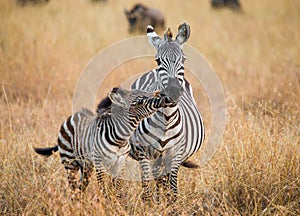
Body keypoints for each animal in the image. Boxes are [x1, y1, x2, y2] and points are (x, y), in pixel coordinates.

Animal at [34, 85, 182, 192]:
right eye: (139, 101)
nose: (165, 96)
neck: (120, 139)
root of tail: (73, 116)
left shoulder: (120, 163)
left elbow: (117, 188)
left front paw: (117, 204)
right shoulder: (100, 164)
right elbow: (103, 189)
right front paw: (105, 204)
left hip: (86, 166)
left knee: (81, 187)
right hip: (70, 163)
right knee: (73, 188)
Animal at [129, 22, 204, 201]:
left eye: (183, 59)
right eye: (158, 61)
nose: (173, 91)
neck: (167, 117)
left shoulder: (175, 154)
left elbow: (173, 190)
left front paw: (170, 204)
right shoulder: (143, 152)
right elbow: (146, 189)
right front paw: (151, 204)